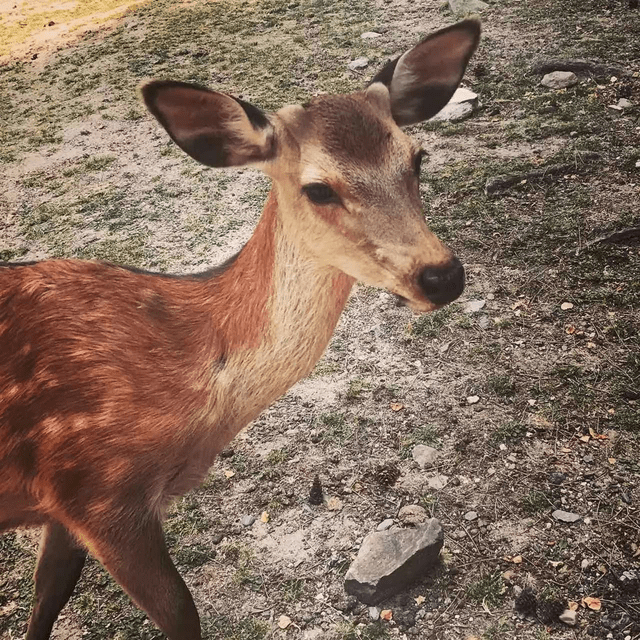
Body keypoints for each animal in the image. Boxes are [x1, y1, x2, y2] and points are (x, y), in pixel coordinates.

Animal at [1, 20, 480, 640]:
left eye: (417, 158)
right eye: (318, 188)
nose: (443, 275)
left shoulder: (63, 504)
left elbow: (46, 598)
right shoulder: (100, 493)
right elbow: (182, 612)